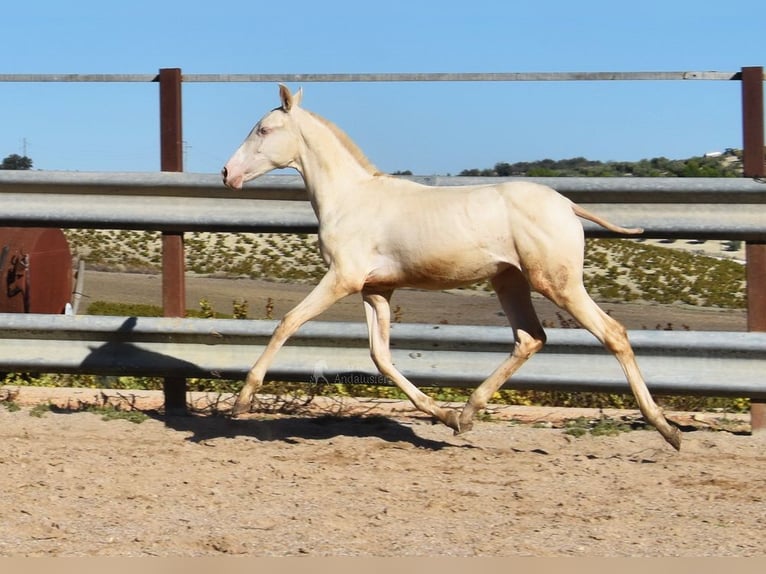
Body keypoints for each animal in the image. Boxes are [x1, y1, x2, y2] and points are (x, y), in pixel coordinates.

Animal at [224, 86, 684, 454]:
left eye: (263, 130)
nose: (228, 173)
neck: (351, 198)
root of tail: (568, 205)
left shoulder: (343, 278)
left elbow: (288, 322)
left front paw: (243, 400)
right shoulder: (376, 290)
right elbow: (381, 356)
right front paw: (440, 415)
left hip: (557, 283)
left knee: (612, 333)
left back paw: (667, 429)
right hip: (509, 281)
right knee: (530, 338)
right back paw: (465, 415)